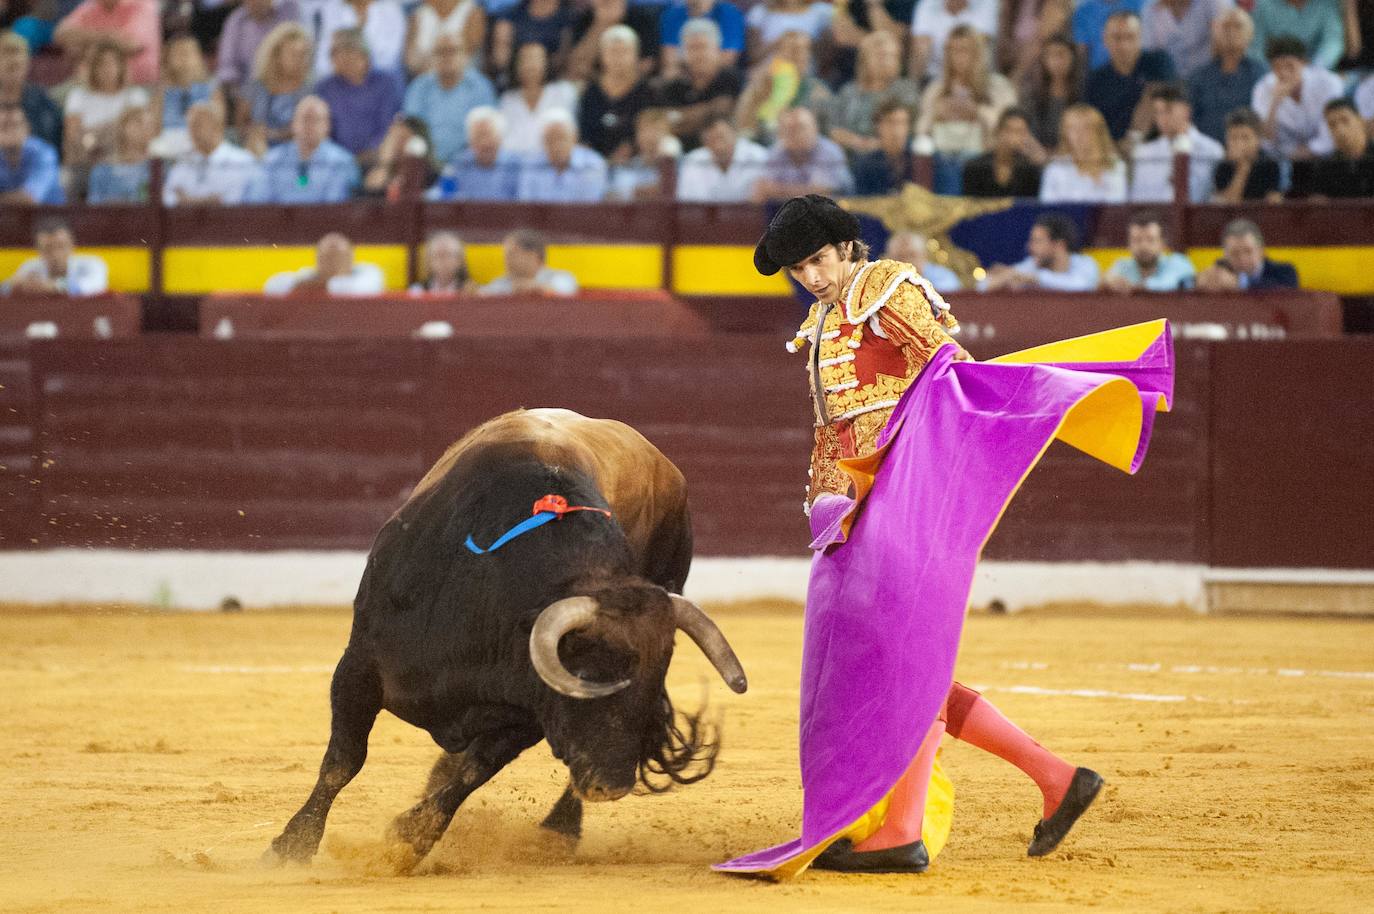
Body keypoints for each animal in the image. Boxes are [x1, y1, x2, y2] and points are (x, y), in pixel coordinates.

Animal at [267, 406, 752, 863]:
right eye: (586, 675)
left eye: (654, 685)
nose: (612, 784)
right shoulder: (359, 666)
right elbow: (344, 759)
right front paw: (291, 847)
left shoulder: (528, 712)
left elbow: (472, 773)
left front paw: (406, 842)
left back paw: (558, 831)